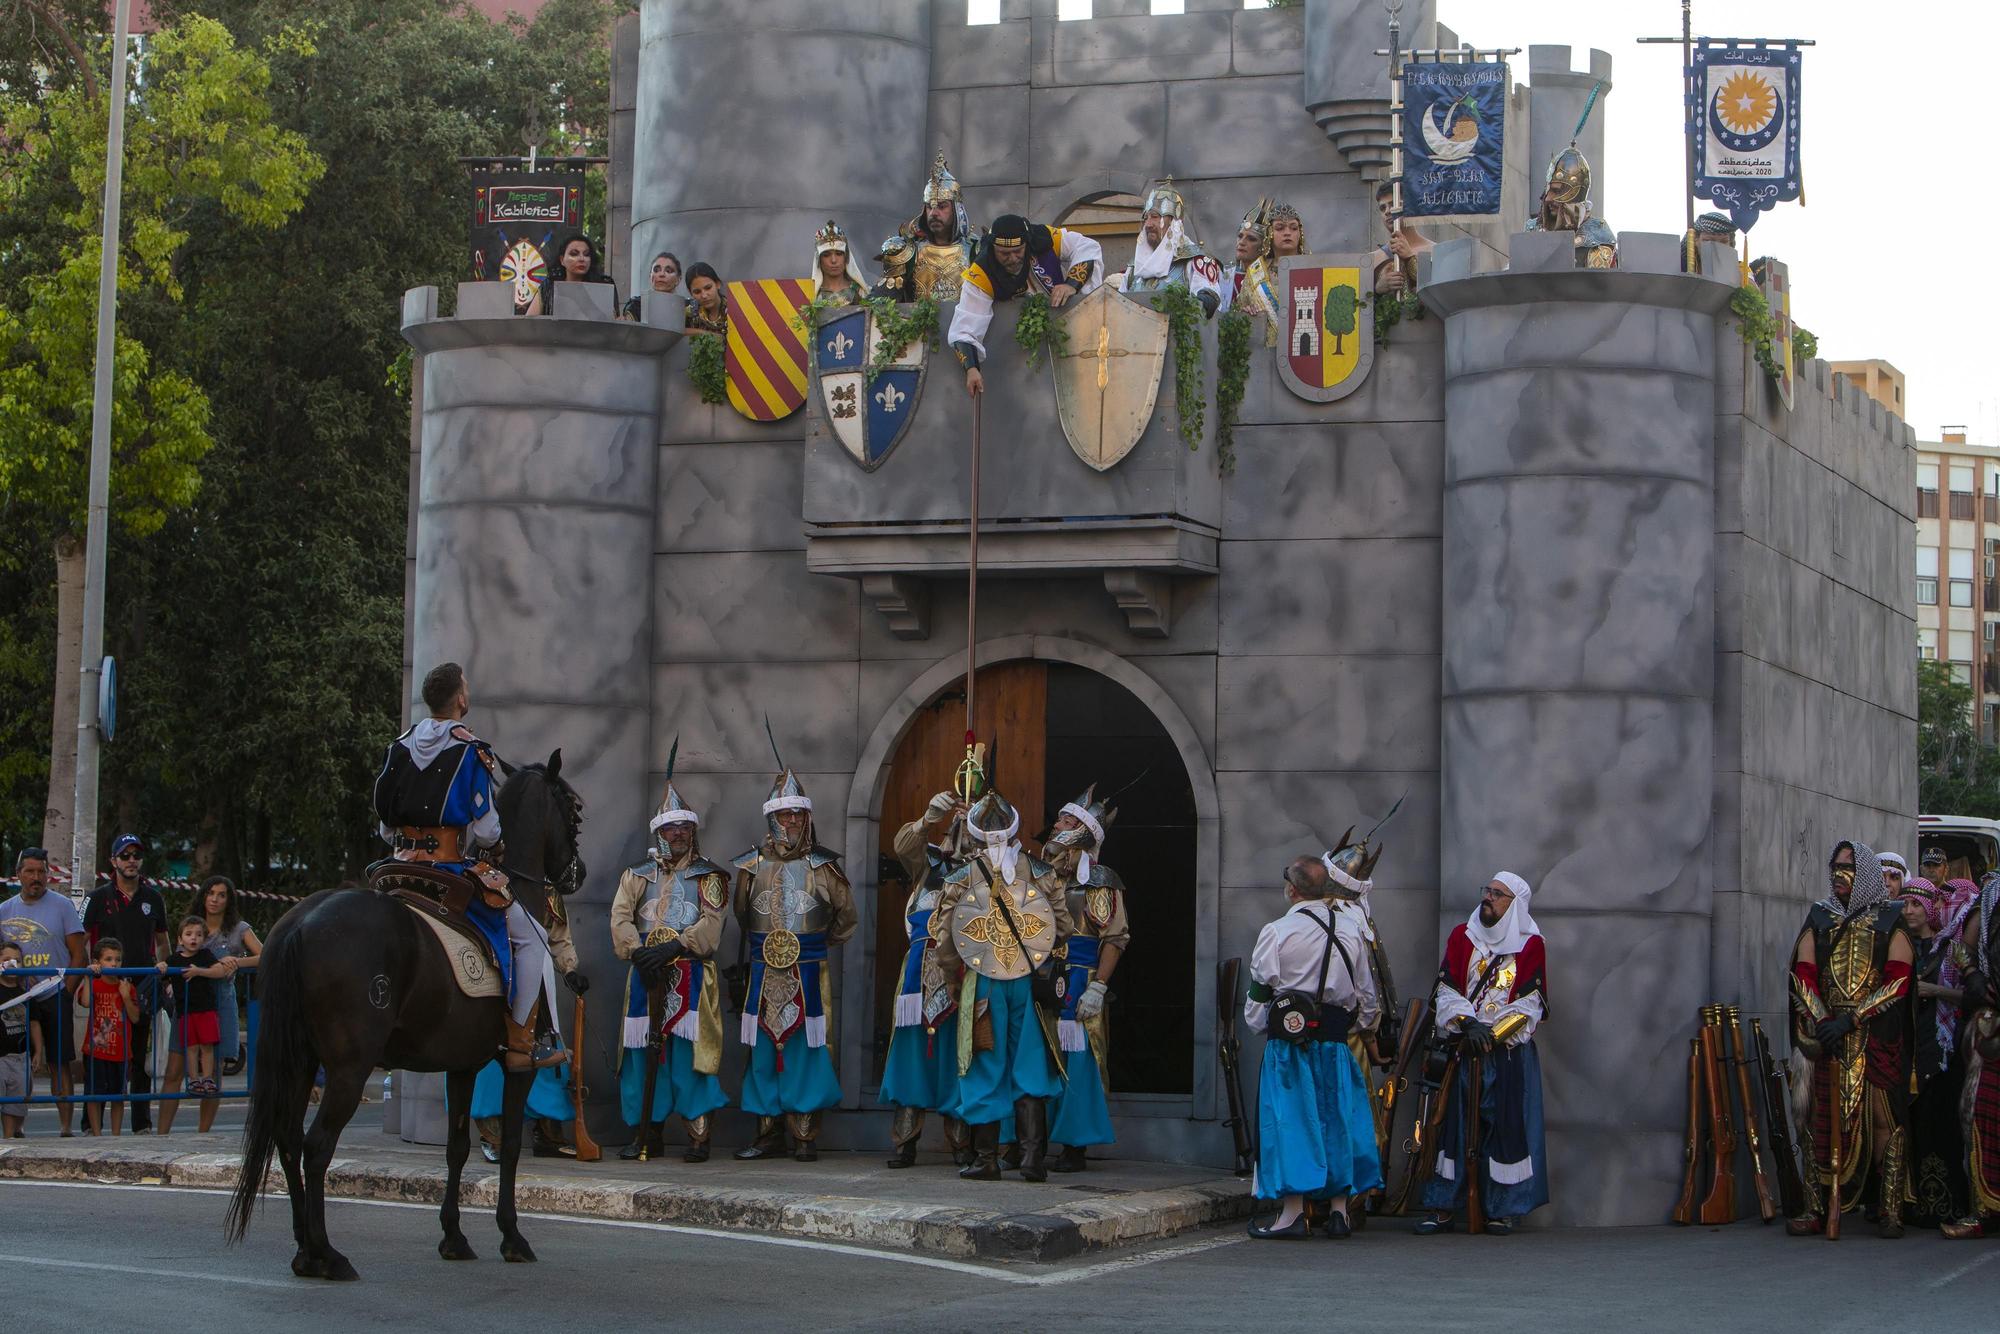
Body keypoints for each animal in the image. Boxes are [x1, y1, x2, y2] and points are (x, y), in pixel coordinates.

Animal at [230, 756, 584, 1280]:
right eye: (572, 808)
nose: (577, 872)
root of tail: (301, 922)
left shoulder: (462, 1064)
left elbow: (457, 1147)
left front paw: (454, 1236)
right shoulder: (515, 1064)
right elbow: (510, 1147)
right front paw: (512, 1235)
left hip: (299, 1061)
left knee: (288, 1139)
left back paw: (303, 1249)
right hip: (348, 1068)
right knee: (317, 1146)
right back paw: (326, 1253)